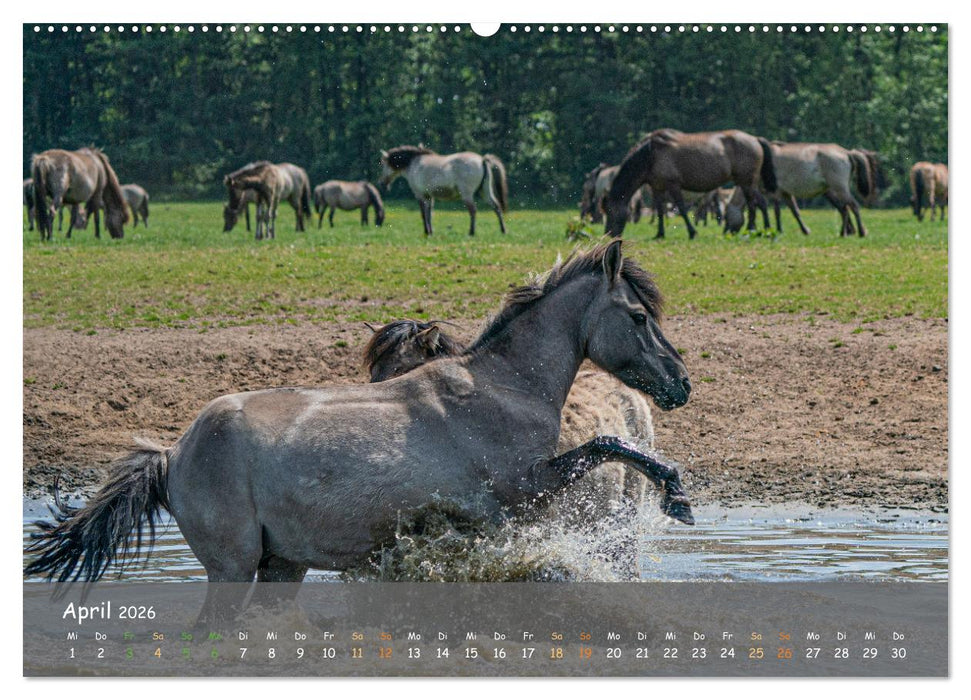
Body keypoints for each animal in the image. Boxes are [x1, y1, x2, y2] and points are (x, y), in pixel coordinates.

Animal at [25, 240, 692, 623]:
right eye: (638, 316)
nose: (680, 382)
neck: (504, 387)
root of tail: (173, 453)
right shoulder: (528, 488)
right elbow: (608, 444)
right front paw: (677, 495)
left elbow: (607, 447)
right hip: (232, 569)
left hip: (280, 567)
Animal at [379, 146, 508, 236]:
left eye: (383, 164)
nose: (382, 184)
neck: (414, 163)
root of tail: (482, 160)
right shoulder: (429, 196)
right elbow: (429, 214)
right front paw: (431, 232)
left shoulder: (420, 195)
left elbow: (423, 214)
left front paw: (426, 231)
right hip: (485, 191)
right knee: (496, 207)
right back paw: (503, 230)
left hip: (467, 194)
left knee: (473, 210)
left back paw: (471, 232)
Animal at [605, 129, 777, 240]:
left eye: (611, 211)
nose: (608, 235)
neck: (650, 154)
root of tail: (755, 139)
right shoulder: (657, 187)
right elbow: (660, 211)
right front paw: (659, 234)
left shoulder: (673, 185)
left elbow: (681, 208)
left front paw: (692, 232)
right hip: (747, 182)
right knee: (759, 203)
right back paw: (763, 229)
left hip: (747, 182)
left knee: (754, 204)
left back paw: (752, 230)